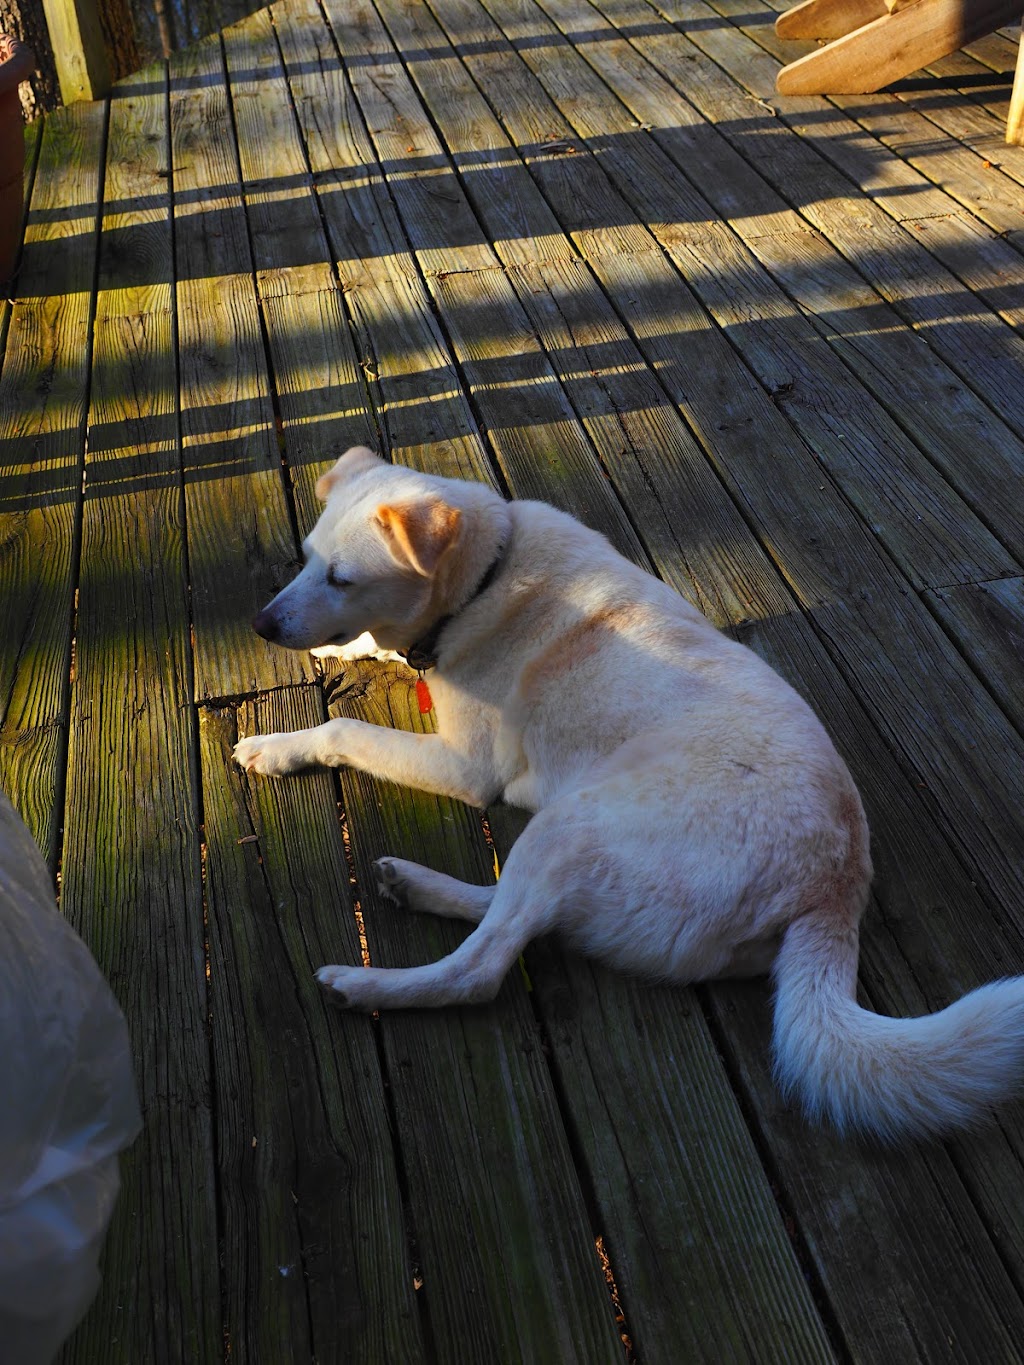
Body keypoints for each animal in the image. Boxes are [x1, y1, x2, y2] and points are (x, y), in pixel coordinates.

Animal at [236, 447, 1024, 1141]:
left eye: (342, 577)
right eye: (305, 558)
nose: (261, 623)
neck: (485, 576)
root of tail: (836, 887)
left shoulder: (465, 766)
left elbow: (344, 726)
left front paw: (278, 746)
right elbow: (367, 647)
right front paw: (335, 652)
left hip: (573, 824)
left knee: (482, 967)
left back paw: (363, 985)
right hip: (581, 846)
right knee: (523, 914)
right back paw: (413, 884)